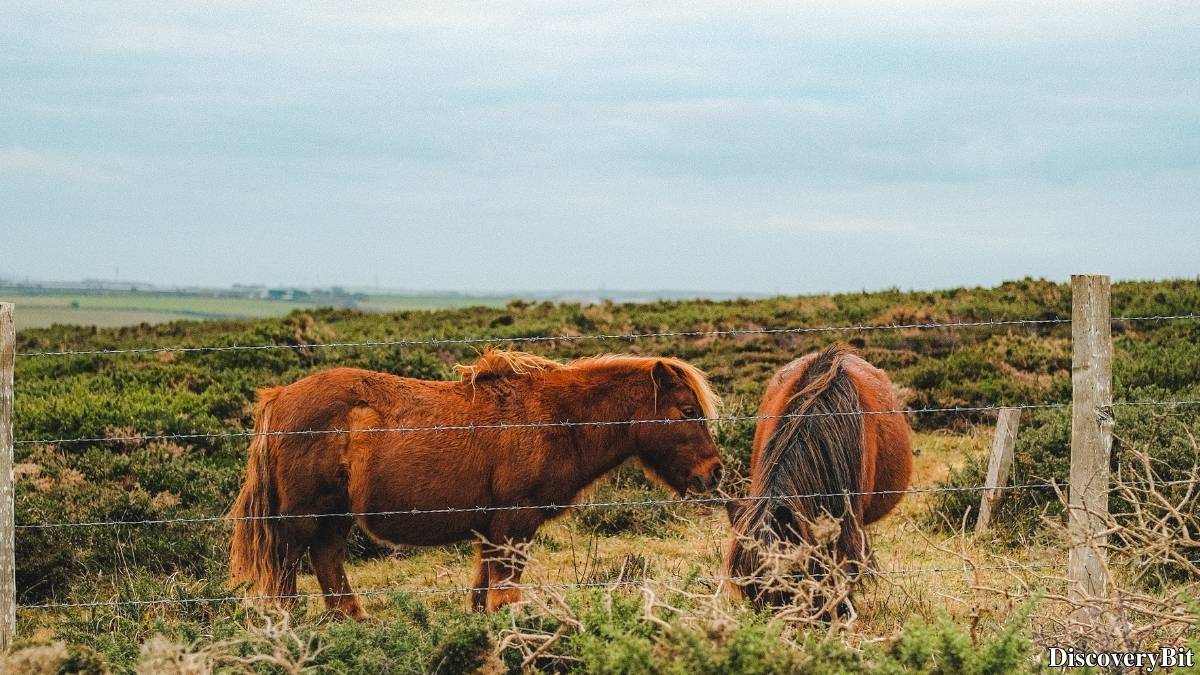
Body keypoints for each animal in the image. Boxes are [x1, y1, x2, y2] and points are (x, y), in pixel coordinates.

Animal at [229, 349, 723, 618]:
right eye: (687, 411)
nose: (714, 472)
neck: (557, 418)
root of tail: (279, 397)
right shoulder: (513, 526)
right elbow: (505, 595)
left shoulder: (492, 530)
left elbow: (484, 594)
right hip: (305, 518)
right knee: (289, 573)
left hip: (334, 517)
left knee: (327, 562)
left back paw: (354, 620)